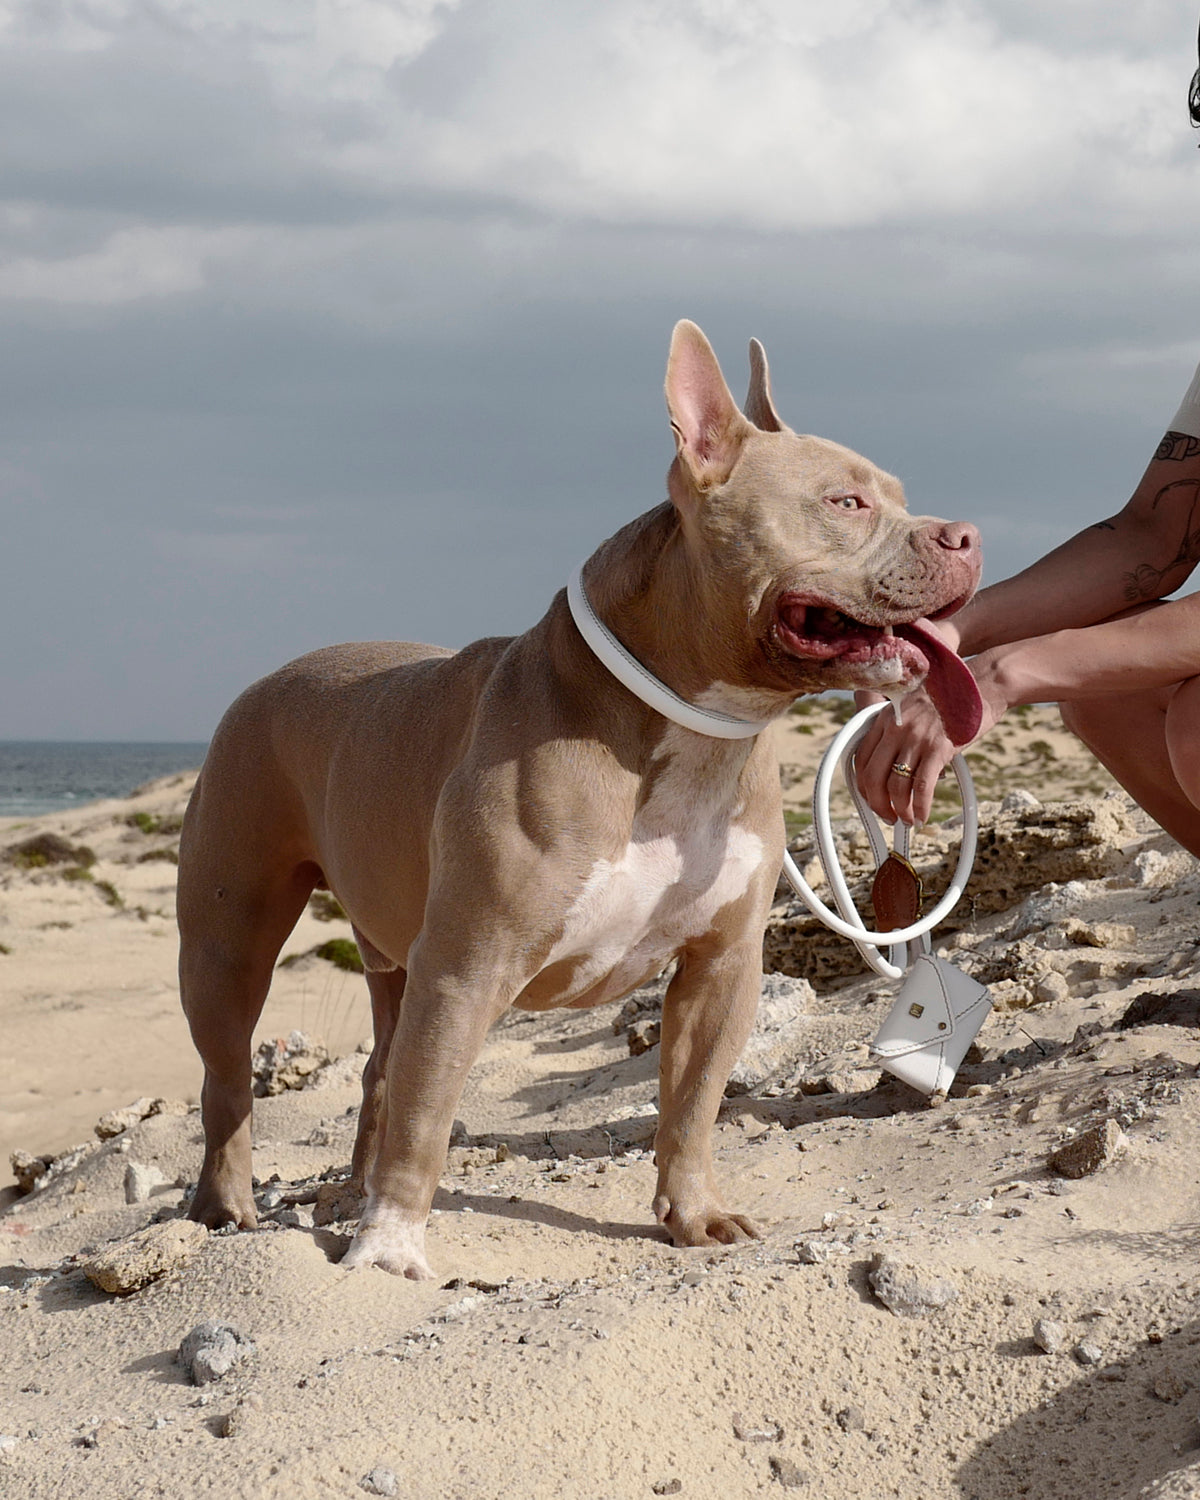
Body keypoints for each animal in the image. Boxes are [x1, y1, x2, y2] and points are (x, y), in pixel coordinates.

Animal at [180, 319, 984, 1278]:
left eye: (899, 495)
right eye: (846, 502)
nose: (967, 535)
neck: (693, 735)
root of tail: (272, 675)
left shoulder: (722, 967)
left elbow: (691, 1105)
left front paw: (695, 1214)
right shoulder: (466, 969)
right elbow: (428, 1115)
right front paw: (390, 1248)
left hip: (390, 952)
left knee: (378, 1071)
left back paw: (346, 1191)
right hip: (228, 944)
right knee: (231, 1081)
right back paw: (229, 1209)